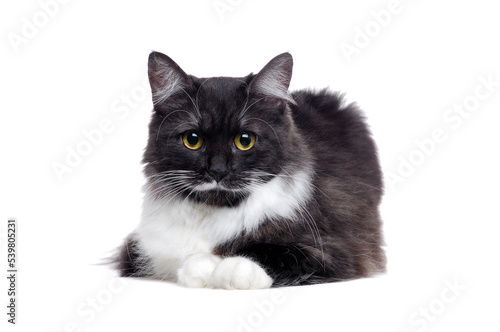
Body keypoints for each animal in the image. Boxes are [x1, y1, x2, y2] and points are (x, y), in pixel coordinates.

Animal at [113, 50, 386, 290]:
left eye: (245, 140)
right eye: (192, 140)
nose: (218, 170)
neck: (217, 210)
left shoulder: (333, 251)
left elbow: (270, 251)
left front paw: (230, 268)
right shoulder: (139, 249)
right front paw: (200, 268)